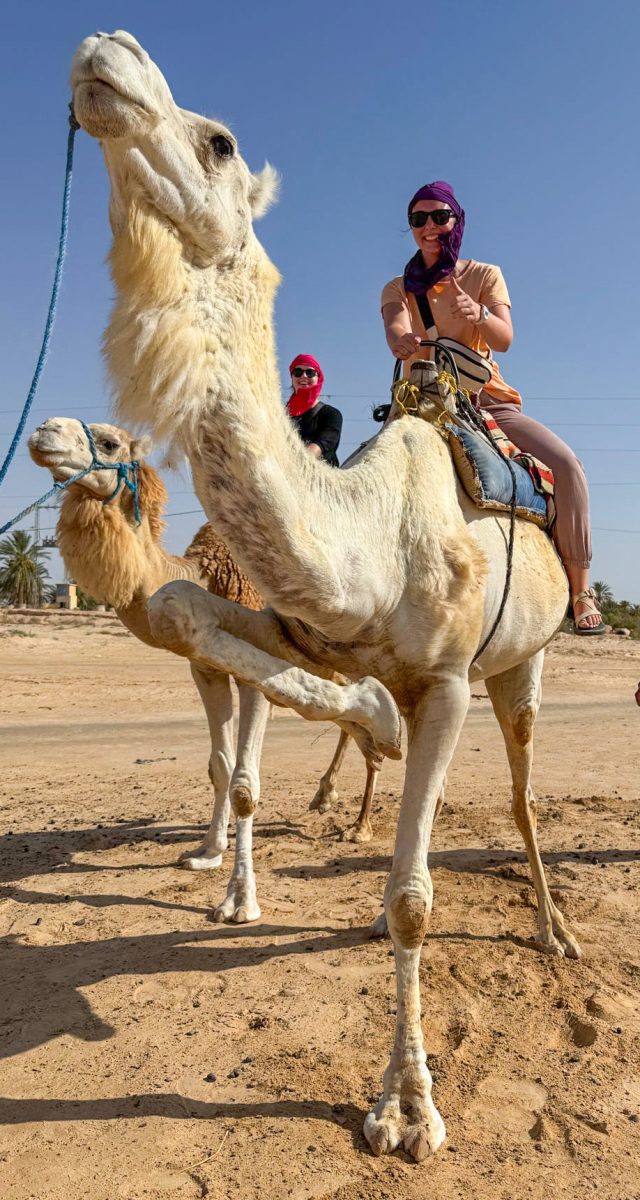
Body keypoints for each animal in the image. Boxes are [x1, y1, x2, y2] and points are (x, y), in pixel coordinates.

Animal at [28, 417, 378, 856]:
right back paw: (328, 796)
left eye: (108, 443)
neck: (207, 578)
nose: (44, 430)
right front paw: (210, 848)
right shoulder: (205, 670)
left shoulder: (260, 675)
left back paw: (362, 825)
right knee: (356, 720)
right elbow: (221, 767)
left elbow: (247, 774)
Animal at [71, 30, 580, 1161]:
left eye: (219, 140)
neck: (373, 537)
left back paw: (553, 928)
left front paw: (406, 1110)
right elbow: (191, 618)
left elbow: (419, 901)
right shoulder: (299, 624)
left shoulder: (451, 676)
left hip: (524, 660)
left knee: (523, 790)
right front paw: (365, 716)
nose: (104, 50)